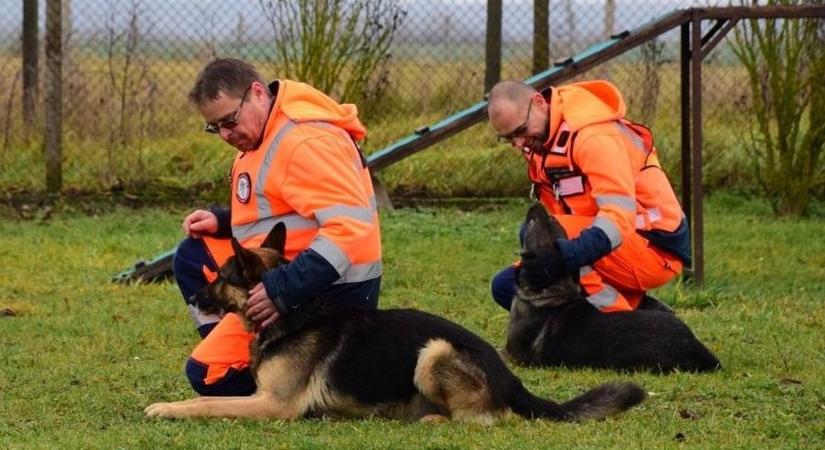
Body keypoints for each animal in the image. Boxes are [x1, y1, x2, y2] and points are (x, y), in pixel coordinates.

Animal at [150, 223, 652, 424]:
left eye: (221, 276)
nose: (194, 297)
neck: (290, 312)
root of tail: (511, 378)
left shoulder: (275, 405)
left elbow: (206, 406)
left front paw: (165, 409)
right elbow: (209, 398)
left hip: (434, 351)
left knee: (481, 419)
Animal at [502, 204, 720, 372]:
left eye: (531, 223)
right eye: (552, 221)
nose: (537, 204)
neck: (556, 288)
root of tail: (697, 350)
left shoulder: (512, 354)